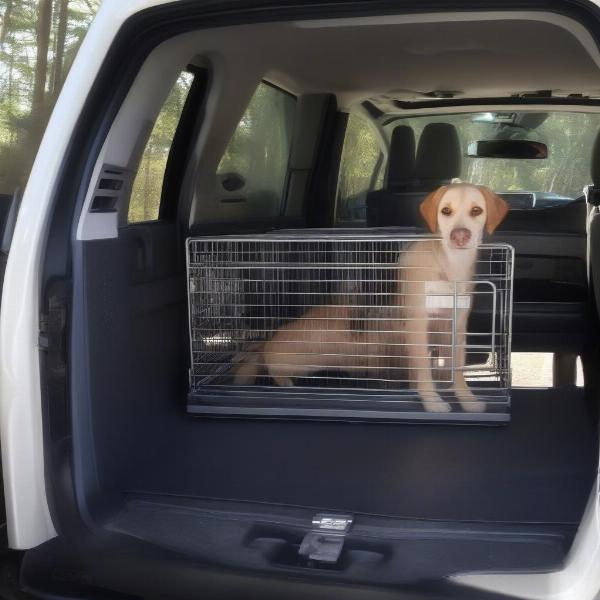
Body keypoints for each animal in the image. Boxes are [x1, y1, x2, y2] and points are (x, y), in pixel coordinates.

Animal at [232, 184, 508, 412]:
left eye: (476, 210)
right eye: (446, 211)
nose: (460, 235)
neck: (449, 268)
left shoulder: (457, 327)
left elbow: (457, 370)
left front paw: (467, 400)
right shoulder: (418, 327)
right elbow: (423, 372)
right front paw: (432, 402)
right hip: (300, 354)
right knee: (269, 360)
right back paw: (280, 377)